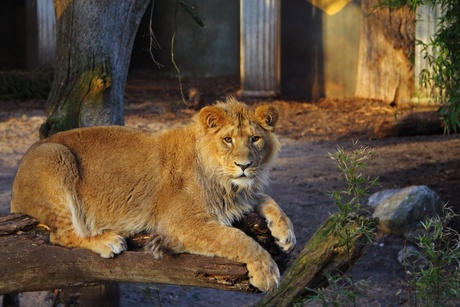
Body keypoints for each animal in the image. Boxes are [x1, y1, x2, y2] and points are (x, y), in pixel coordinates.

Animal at [11, 97, 298, 292]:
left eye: (255, 139)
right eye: (228, 140)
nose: (244, 165)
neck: (225, 181)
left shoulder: (239, 196)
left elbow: (265, 198)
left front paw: (285, 234)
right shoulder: (180, 223)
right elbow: (236, 238)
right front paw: (266, 271)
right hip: (56, 157)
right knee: (60, 235)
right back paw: (107, 241)